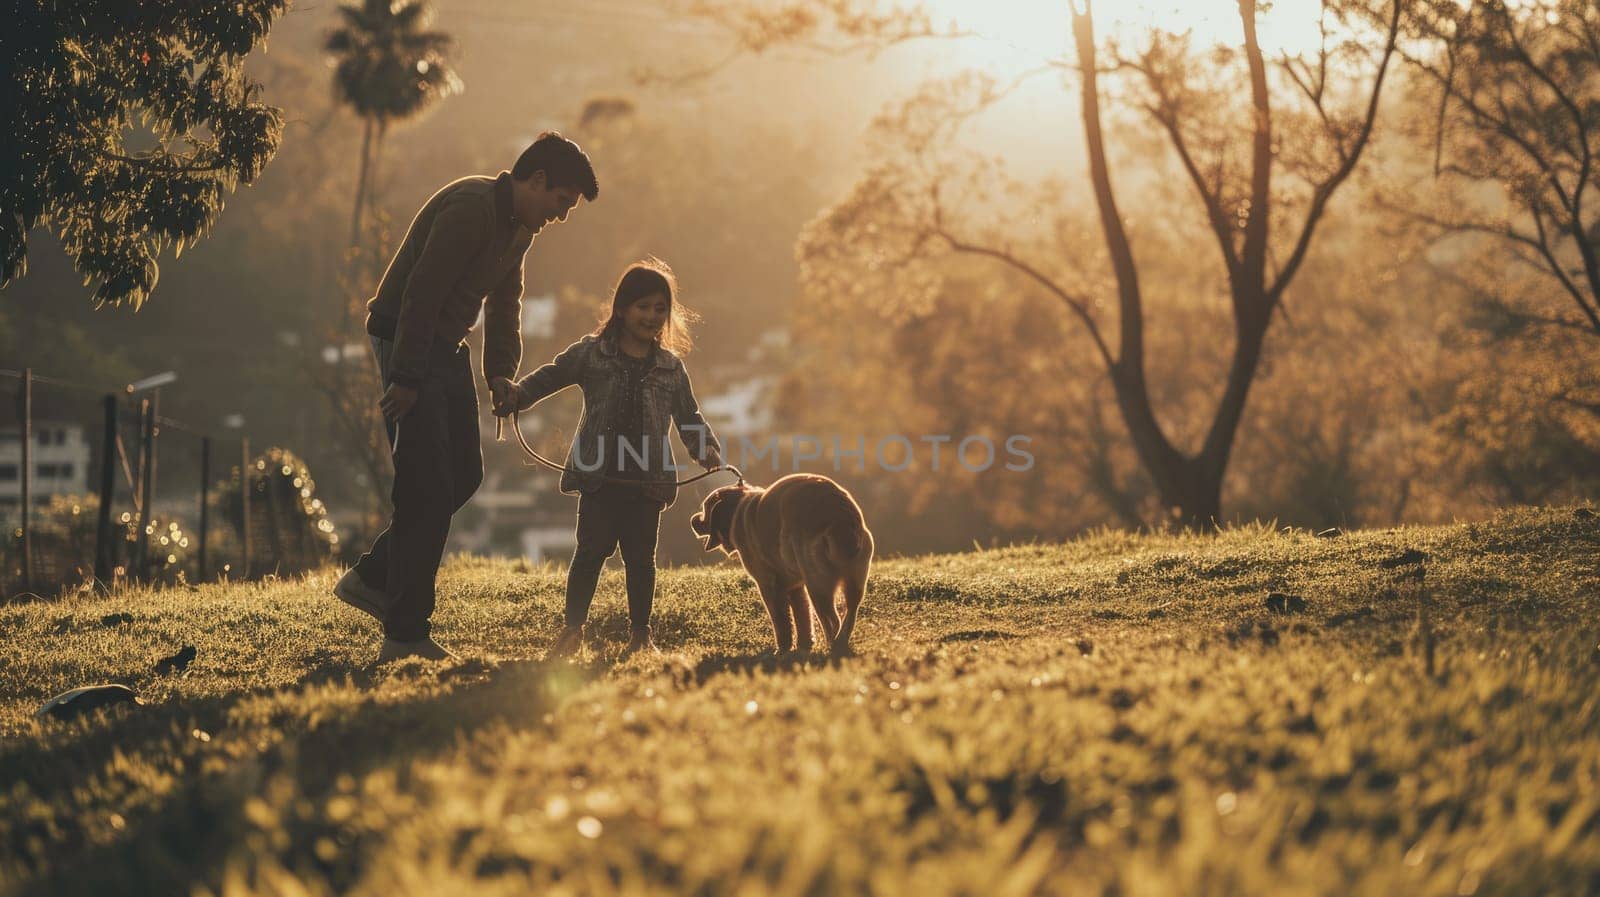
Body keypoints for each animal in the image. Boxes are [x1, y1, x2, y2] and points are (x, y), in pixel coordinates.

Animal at [691, 473, 876, 655]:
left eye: (705, 509)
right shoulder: (795, 586)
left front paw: (783, 648)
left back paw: (833, 645)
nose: (693, 521)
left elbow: (781, 620)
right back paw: (840, 643)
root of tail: (841, 518)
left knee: (832, 619)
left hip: (817, 586)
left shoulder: (768, 584)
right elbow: (802, 617)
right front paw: (804, 645)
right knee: (850, 613)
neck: (737, 509)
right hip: (854, 582)